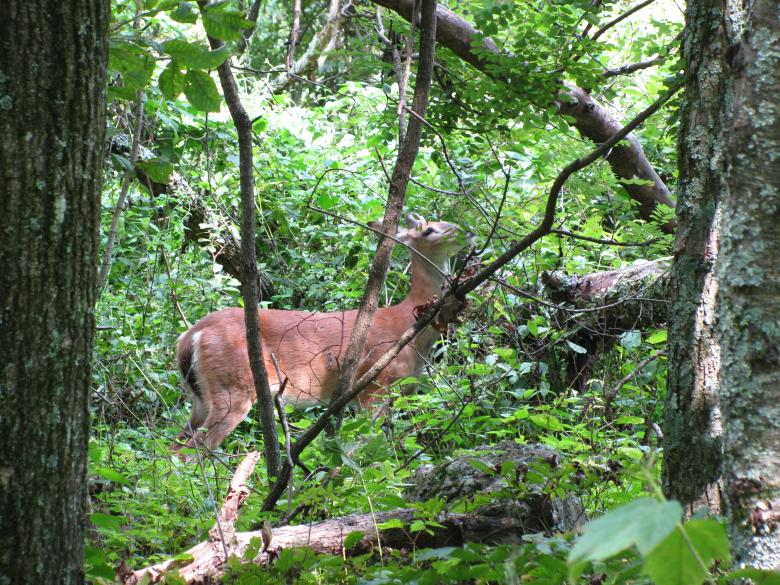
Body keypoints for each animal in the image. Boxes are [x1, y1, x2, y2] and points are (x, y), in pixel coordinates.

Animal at [172, 213, 475, 453]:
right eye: (429, 230)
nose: (469, 231)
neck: (408, 325)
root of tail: (190, 336)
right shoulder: (374, 385)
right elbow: (368, 442)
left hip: (201, 397)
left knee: (174, 447)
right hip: (233, 387)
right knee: (192, 451)